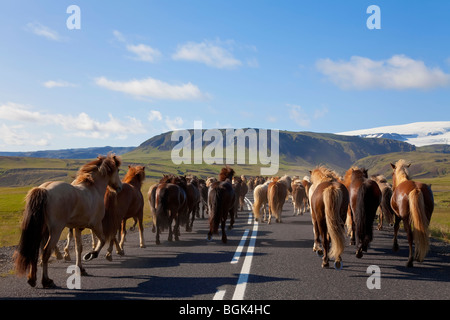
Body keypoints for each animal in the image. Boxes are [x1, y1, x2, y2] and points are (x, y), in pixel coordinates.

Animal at [14, 154, 123, 288]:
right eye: (118, 170)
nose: (120, 187)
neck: (93, 189)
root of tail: (44, 189)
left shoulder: (77, 228)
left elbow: (78, 248)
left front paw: (81, 269)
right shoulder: (96, 225)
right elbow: (102, 241)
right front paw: (91, 255)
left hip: (41, 230)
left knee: (36, 251)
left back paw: (32, 279)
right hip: (55, 230)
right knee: (46, 252)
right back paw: (46, 281)